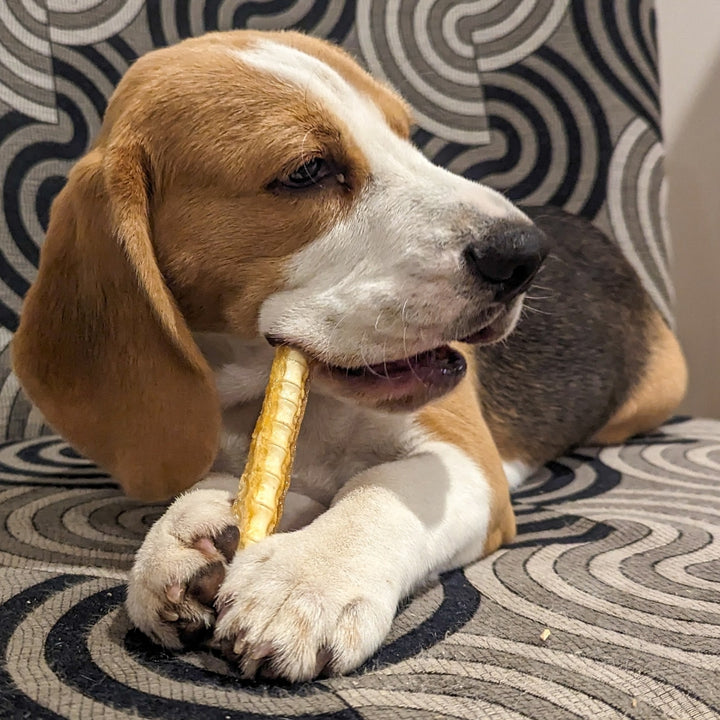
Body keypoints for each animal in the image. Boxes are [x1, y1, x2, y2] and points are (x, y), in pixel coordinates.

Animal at [9, 29, 688, 680]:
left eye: (407, 137)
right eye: (307, 171)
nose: (524, 255)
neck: (286, 394)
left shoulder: (467, 464)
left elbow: (378, 487)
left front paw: (306, 581)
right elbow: (235, 487)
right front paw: (188, 532)